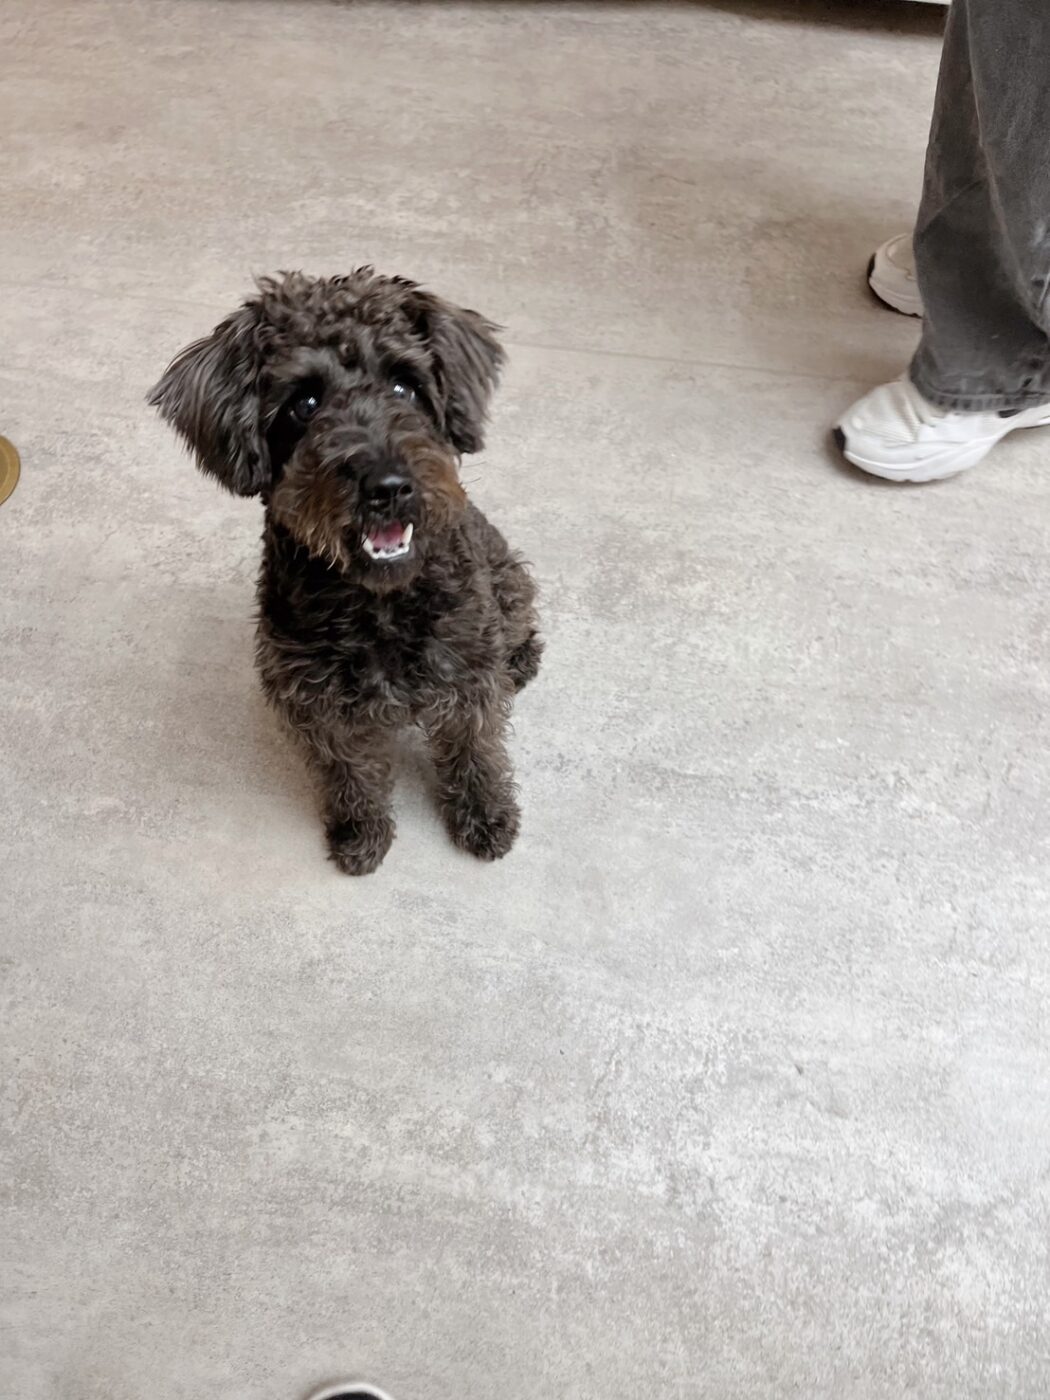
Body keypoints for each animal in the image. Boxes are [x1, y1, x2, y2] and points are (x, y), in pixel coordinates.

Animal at [149, 269, 541, 874]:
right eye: (305, 403)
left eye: (405, 386)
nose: (388, 487)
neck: (378, 604)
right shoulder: (318, 706)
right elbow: (350, 772)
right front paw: (361, 832)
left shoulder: (468, 677)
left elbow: (474, 747)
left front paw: (486, 814)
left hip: (508, 582)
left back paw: (520, 660)